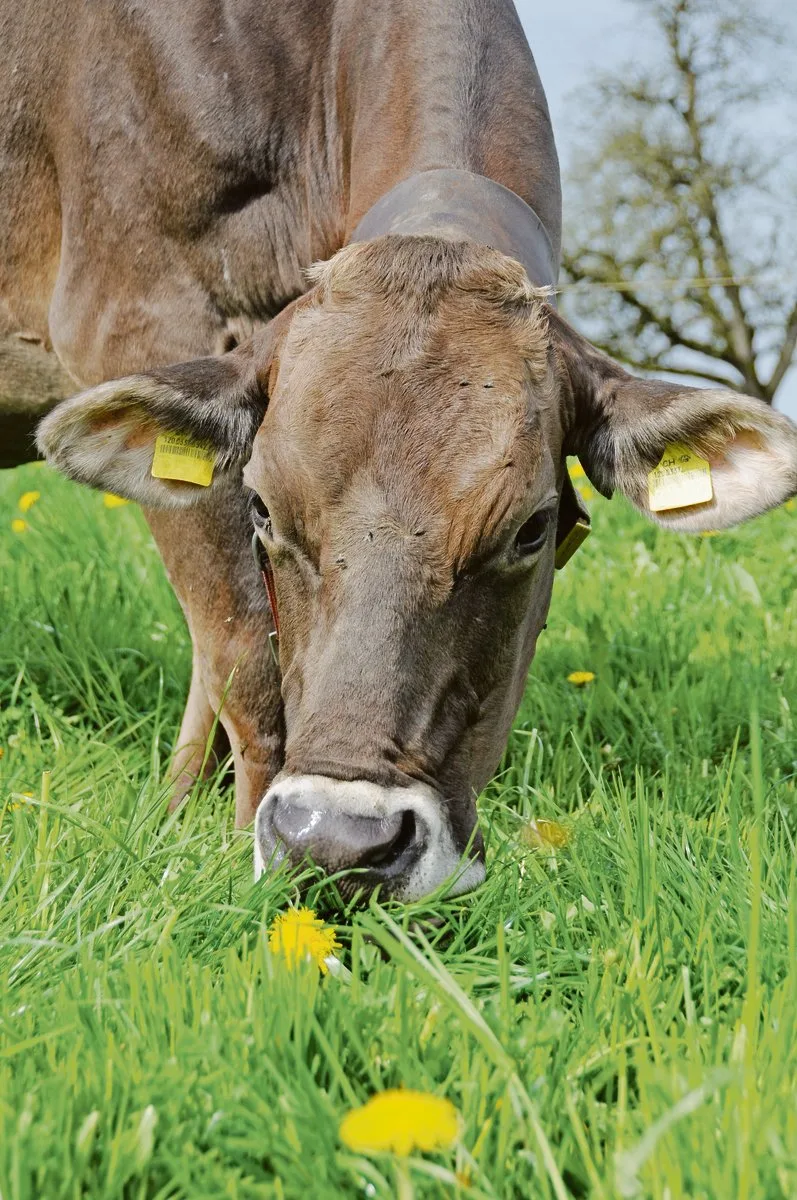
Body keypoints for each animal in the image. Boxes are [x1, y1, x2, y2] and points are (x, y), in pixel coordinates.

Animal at [3, 0, 796, 901]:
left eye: (531, 527)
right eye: (262, 506)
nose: (337, 841)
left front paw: (177, 817)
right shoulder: (139, 319)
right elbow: (244, 657)